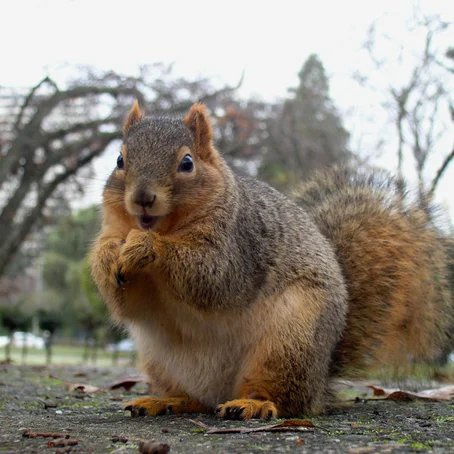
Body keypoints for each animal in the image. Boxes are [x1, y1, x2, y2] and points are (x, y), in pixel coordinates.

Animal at [90, 100, 452, 418]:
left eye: (187, 163)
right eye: (120, 160)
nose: (142, 198)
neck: (166, 226)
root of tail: (320, 384)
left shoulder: (240, 247)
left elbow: (210, 275)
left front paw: (145, 246)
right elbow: (128, 304)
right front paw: (107, 255)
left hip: (287, 344)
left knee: (282, 399)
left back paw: (252, 405)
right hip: (160, 362)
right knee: (193, 399)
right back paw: (165, 401)